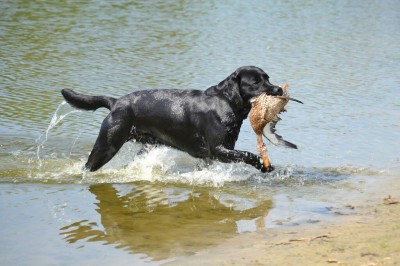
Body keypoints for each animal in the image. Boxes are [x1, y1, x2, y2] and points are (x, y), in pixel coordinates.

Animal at [61, 66, 282, 172]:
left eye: (268, 78)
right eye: (256, 82)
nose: (278, 89)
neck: (225, 101)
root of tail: (115, 102)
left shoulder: (214, 154)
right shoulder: (218, 150)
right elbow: (248, 154)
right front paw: (263, 165)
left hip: (146, 145)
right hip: (107, 145)